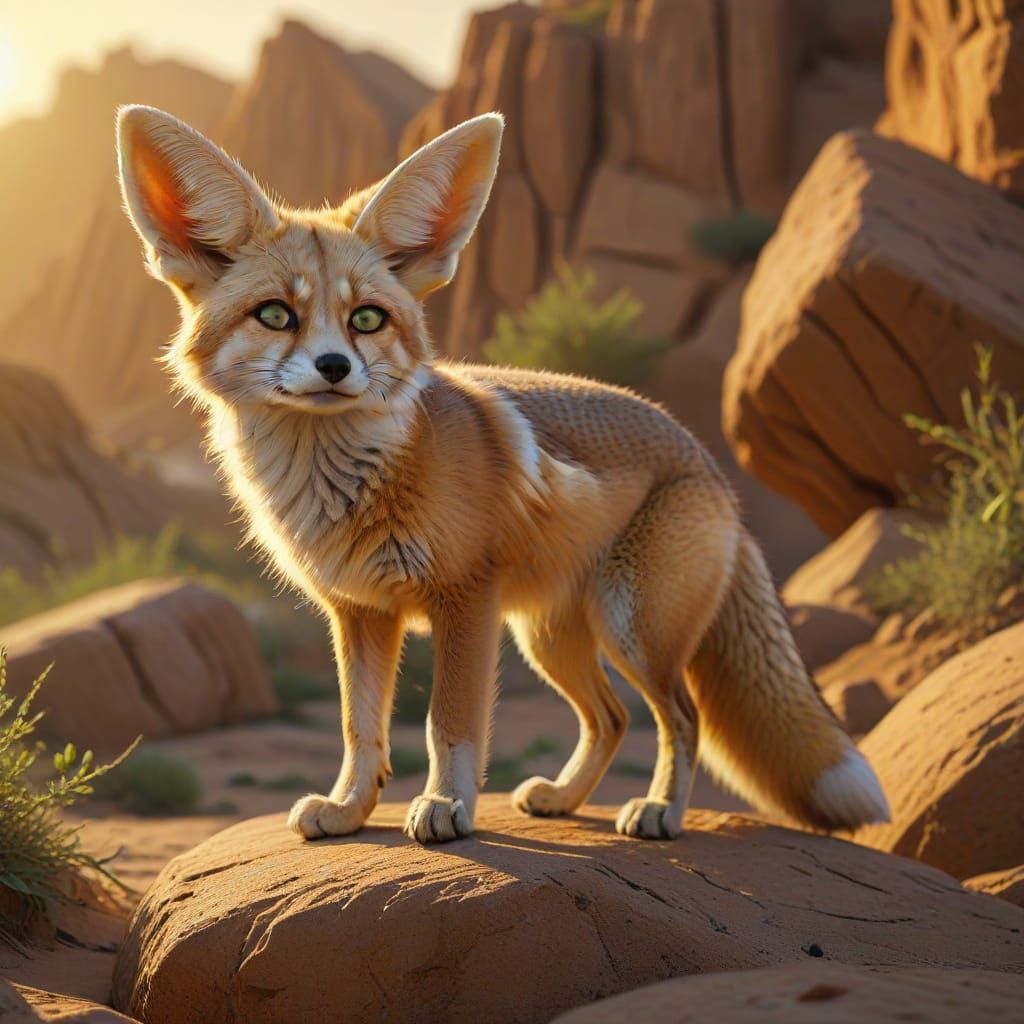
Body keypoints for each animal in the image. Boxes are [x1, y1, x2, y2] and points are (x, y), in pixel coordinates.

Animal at [116, 104, 889, 845]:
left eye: (366, 320)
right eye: (276, 314)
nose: (335, 367)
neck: (345, 486)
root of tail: (708, 463)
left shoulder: (464, 598)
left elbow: (448, 725)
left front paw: (446, 809)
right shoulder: (361, 613)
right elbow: (361, 731)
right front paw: (348, 812)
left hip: (631, 630)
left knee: (681, 717)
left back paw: (660, 812)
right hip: (549, 638)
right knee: (611, 717)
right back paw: (563, 799)